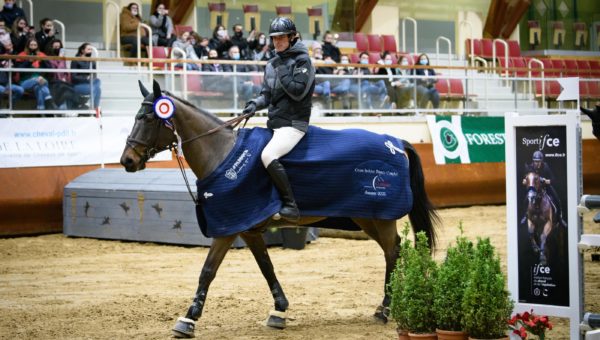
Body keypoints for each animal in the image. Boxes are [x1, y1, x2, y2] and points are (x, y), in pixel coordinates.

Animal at [119, 79, 438, 338]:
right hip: (366, 218)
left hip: (379, 217)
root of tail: (395, 141)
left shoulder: (227, 229)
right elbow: (266, 266)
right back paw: (384, 307)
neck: (222, 153)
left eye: (149, 118)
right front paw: (279, 310)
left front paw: (188, 319)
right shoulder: (248, 229)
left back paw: (385, 309)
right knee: (393, 251)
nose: (127, 161)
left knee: (393, 252)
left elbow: (207, 270)